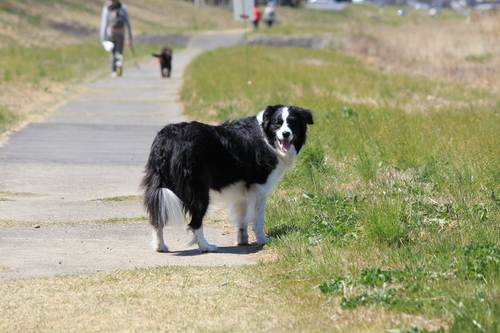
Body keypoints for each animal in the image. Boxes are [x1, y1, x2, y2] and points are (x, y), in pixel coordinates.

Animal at [141, 104, 312, 252]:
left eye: (292, 123)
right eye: (277, 123)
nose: (286, 134)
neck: (267, 137)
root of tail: (168, 139)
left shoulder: (243, 192)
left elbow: (242, 219)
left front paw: (242, 240)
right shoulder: (259, 188)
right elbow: (258, 219)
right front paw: (262, 239)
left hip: (161, 184)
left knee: (157, 218)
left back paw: (160, 246)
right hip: (198, 190)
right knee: (195, 222)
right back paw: (206, 247)